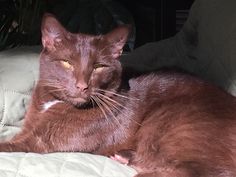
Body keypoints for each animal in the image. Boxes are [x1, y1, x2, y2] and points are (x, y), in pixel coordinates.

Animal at [0, 13, 236, 176]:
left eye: (98, 67)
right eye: (67, 63)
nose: (82, 86)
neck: (52, 103)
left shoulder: (39, 143)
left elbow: (8, 146)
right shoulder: (27, 130)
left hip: (173, 123)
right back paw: (124, 156)